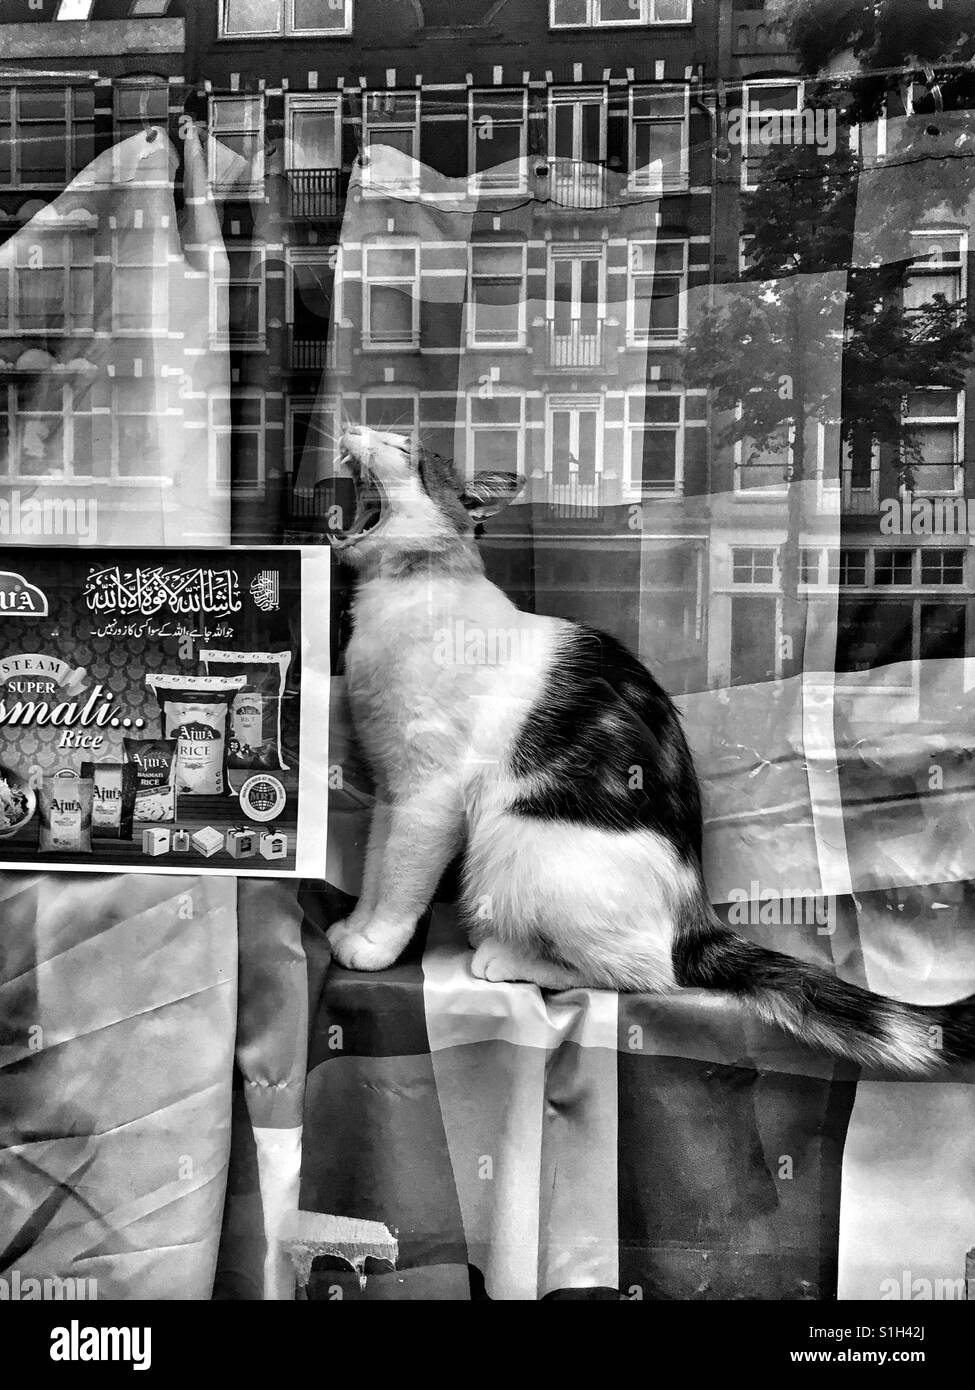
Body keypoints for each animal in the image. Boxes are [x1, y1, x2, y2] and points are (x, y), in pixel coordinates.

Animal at [325, 422, 973, 1073]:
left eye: (403, 450)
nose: (354, 427)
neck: (404, 595)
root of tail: (696, 912)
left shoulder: (429, 796)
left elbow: (402, 880)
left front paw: (377, 944)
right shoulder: (392, 789)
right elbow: (377, 865)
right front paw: (353, 927)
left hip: (516, 841)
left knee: (647, 972)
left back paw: (506, 957)